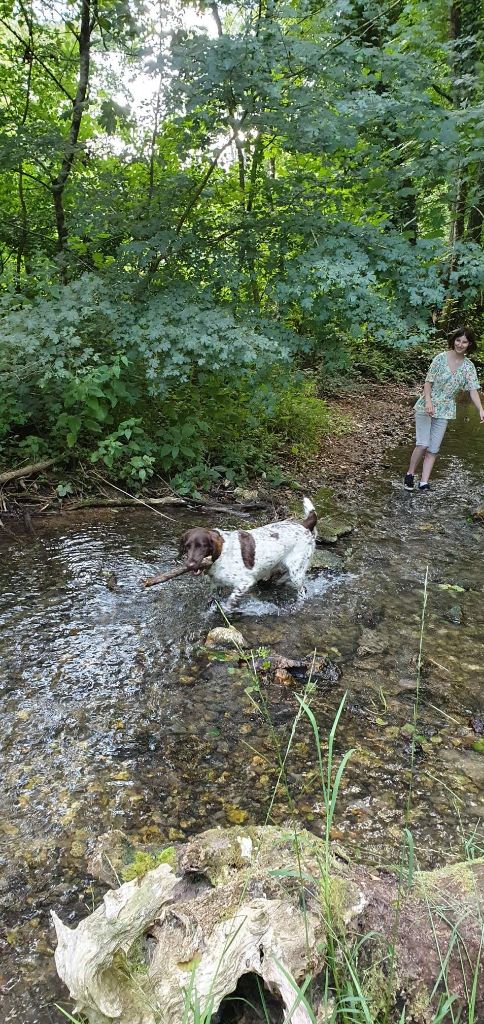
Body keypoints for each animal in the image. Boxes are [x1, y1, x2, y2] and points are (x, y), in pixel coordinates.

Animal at [177, 495, 317, 606]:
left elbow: (230, 602)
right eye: (187, 546)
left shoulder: (245, 582)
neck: (221, 554)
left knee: (302, 591)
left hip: (296, 572)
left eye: (203, 546)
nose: (190, 565)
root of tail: (303, 525)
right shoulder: (216, 584)